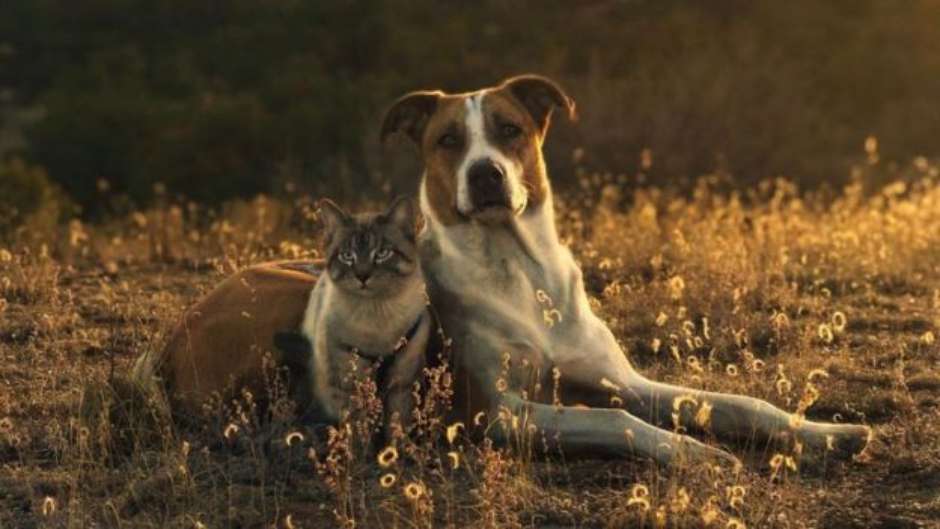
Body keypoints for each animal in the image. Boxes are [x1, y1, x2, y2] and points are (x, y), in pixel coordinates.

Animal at [378, 73, 872, 466]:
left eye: (509, 129)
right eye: (448, 140)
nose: (485, 173)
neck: (519, 270)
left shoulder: (623, 382)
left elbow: (738, 404)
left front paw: (825, 435)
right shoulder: (498, 412)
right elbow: (614, 418)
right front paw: (692, 451)